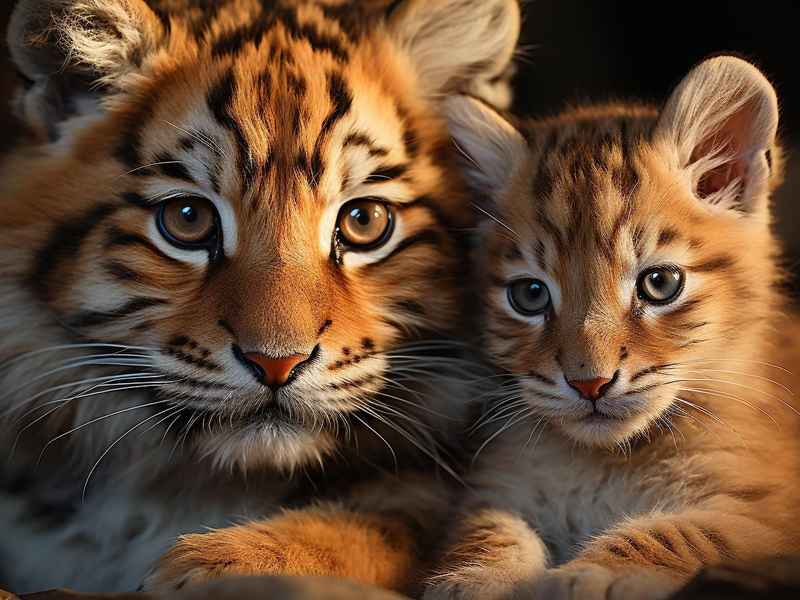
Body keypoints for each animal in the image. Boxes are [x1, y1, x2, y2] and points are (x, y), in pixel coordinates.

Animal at [423, 55, 800, 599]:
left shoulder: (764, 512)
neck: (610, 458)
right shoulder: (495, 487)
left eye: (660, 284)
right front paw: (474, 579)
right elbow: (489, 528)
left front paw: (588, 574)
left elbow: (674, 533)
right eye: (529, 295)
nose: (590, 384)